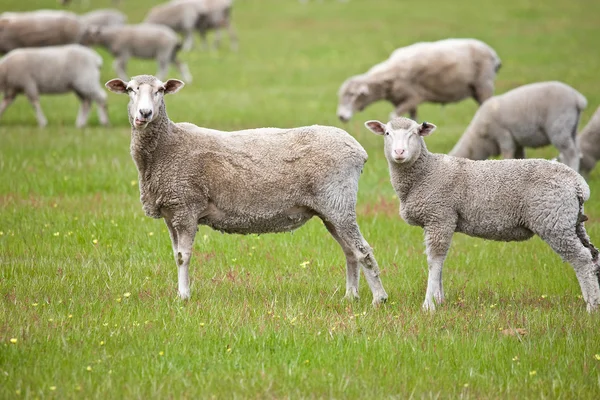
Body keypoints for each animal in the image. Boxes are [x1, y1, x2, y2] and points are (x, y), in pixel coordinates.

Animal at [105, 75, 390, 304]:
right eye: (130, 89)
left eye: (161, 90)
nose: (144, 114)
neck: (167, 145)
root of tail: (357, 149)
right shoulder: (171, 212)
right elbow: (176, 255)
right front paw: (181, 293)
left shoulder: (186, 208)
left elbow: (183, 257)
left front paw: (183, 297)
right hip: (331, 209)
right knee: (350, 252)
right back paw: (351, 296)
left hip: (338, 202)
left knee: (363, 250)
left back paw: (379, 298)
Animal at [338, 39, 502, 123]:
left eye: (352, 95)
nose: (341, 117)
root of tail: (494, 55)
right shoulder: (405, 101)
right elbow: (413, 120)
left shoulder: (414, 97)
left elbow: (393, 117)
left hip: (484, 84)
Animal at [364, 115, 600, 312]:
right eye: (387, 133)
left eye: (414, 133)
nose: (399, 153)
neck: (425, 172)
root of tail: (578, 183)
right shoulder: (439, 220)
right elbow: (441, 262)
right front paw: (440, 300)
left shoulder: (440, 216)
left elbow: (434, 261)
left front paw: (429, 305)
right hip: (572, 221)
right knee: (593, 255)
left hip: (554, 220)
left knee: (582, 259)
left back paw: (591, 306)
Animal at [450, 81, 584, 172]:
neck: (479, 139)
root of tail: (577, 99)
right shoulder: (517, 142)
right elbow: (520, 157)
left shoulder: (503, 134)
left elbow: (507, 153)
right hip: (571, 128)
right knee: (576, 151)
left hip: (559, 127)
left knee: (571, 153)